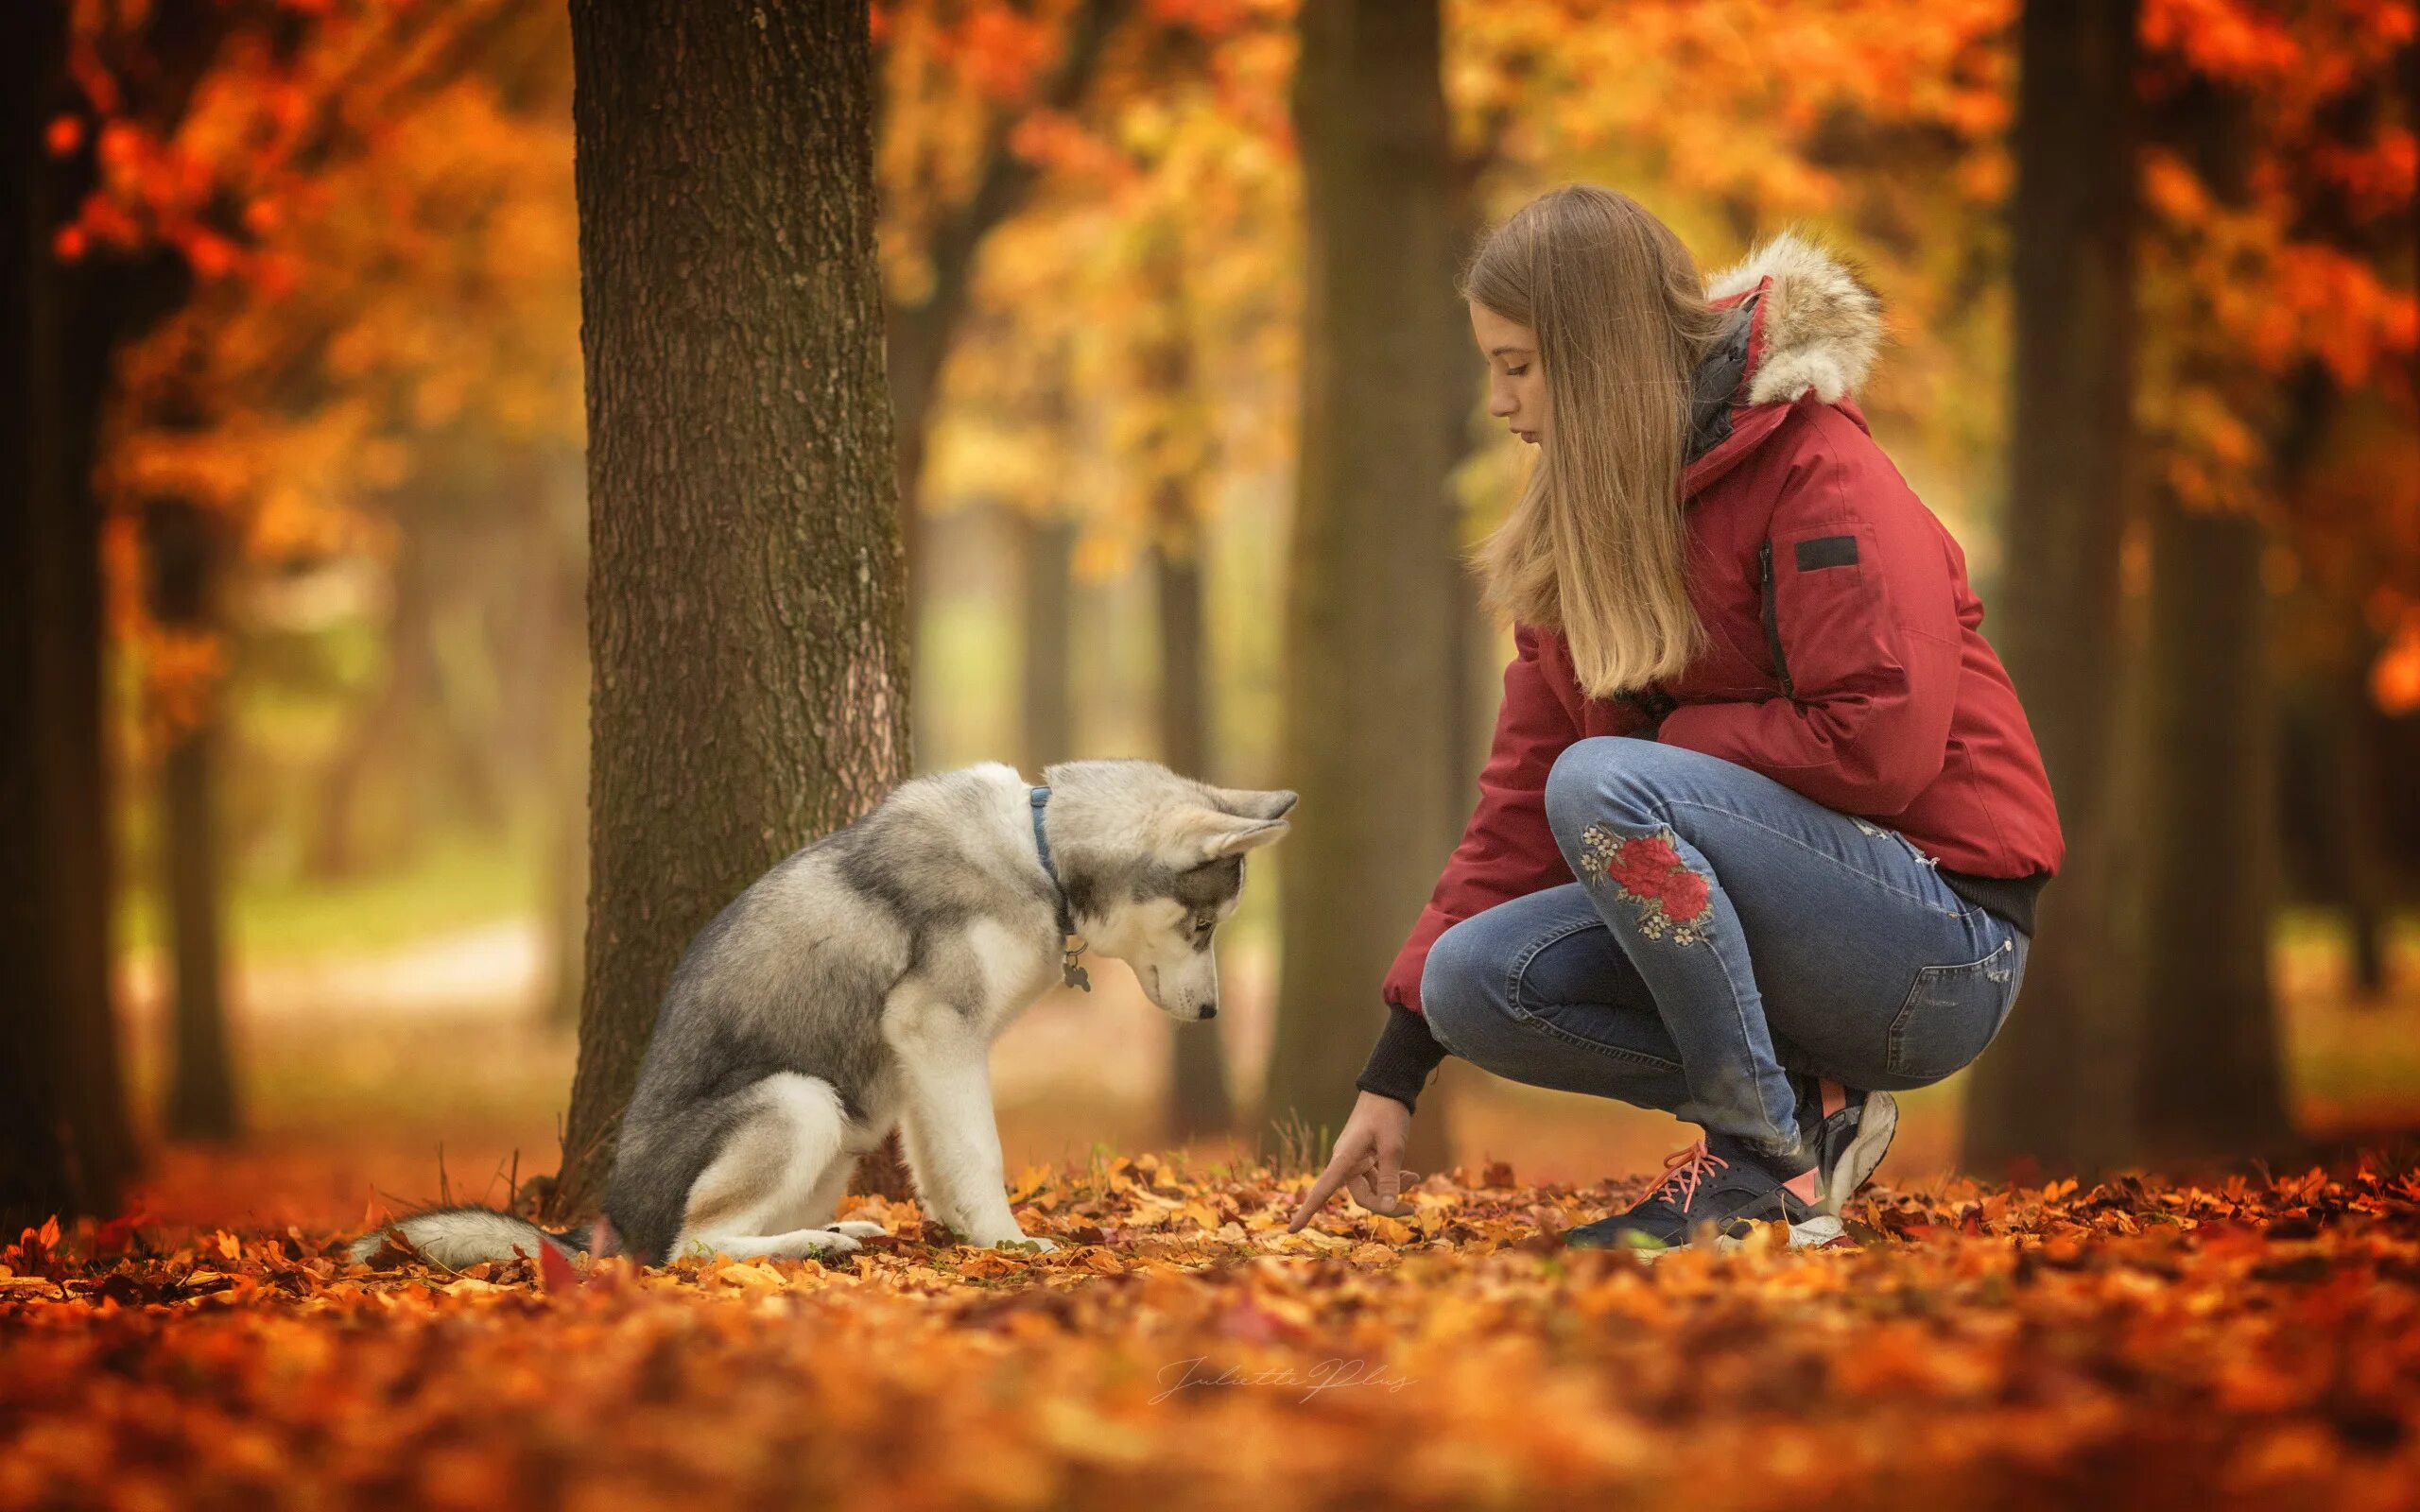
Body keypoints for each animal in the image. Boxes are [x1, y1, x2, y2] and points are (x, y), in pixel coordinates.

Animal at [353, 759, 1297, 1267]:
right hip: (798, 1099)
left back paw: (836, 1229)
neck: (1041, 855)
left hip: (841, 1131)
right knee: (692, 1247)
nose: (1213, 1012)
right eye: (1205, 924)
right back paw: (812, 1248)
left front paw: (961, 1233)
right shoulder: (937, 1027)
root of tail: (605, 1220)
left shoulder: (930, 1057)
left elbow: (943, 1159)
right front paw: (1007, 1242)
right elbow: (980, 1153)